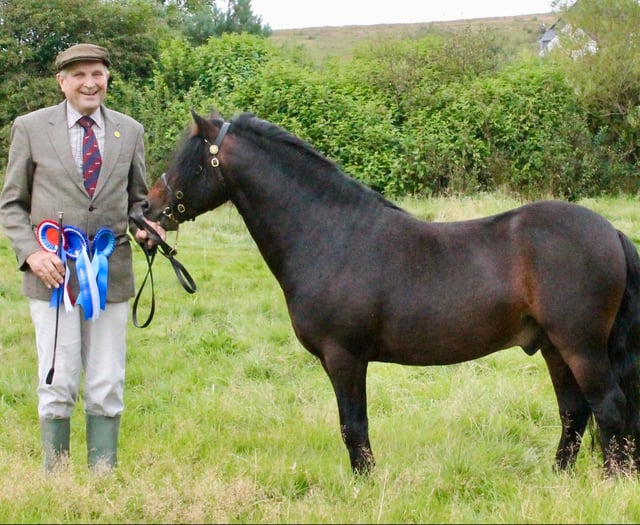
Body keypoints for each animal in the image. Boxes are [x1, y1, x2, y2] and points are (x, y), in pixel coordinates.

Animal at [144, 109, 640, 474]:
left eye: (188, 160)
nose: (146, 211)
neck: (328, 234)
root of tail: (611, 232)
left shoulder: (344, 356)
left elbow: (353, 427)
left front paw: (363, 485)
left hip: (581, 346)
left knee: (609, 407)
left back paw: (611, 479)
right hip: (555, 347)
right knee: (574, 413)